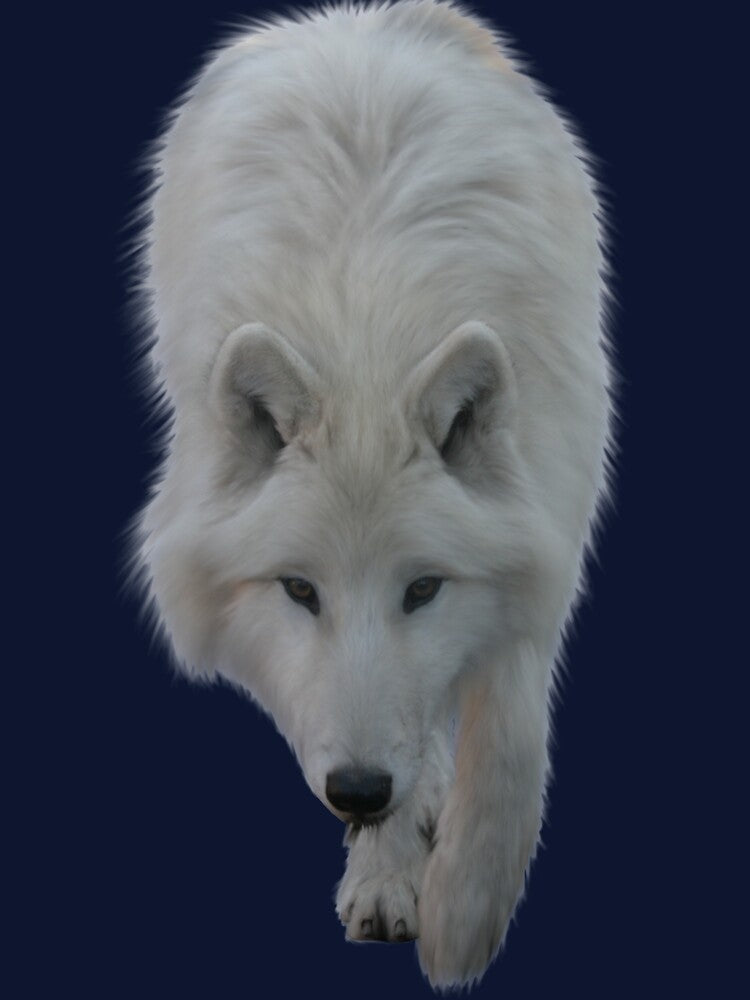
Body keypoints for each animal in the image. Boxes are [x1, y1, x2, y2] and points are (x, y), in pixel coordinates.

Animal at [127, 0, 614, 989]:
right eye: (298, 590)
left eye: (423, 588)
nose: (356, 792)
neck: (368, 342)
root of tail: (359, 17)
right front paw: (394, 870)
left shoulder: (547, 520)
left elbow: (507, 734)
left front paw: (463, 915)